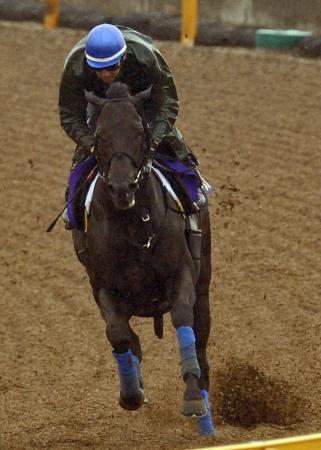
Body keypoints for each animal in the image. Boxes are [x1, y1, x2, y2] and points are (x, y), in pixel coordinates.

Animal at [71, 81, 216, 436]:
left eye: (139, 131)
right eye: (100, 135)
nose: (122, 187)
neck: (134, 224)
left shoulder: (181, 275)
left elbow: (182, 317)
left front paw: (192, 397)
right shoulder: (104, 288)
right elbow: (118, 333)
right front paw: (131, 393)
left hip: (204, 282)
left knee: (201, 336)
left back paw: (206, 416)